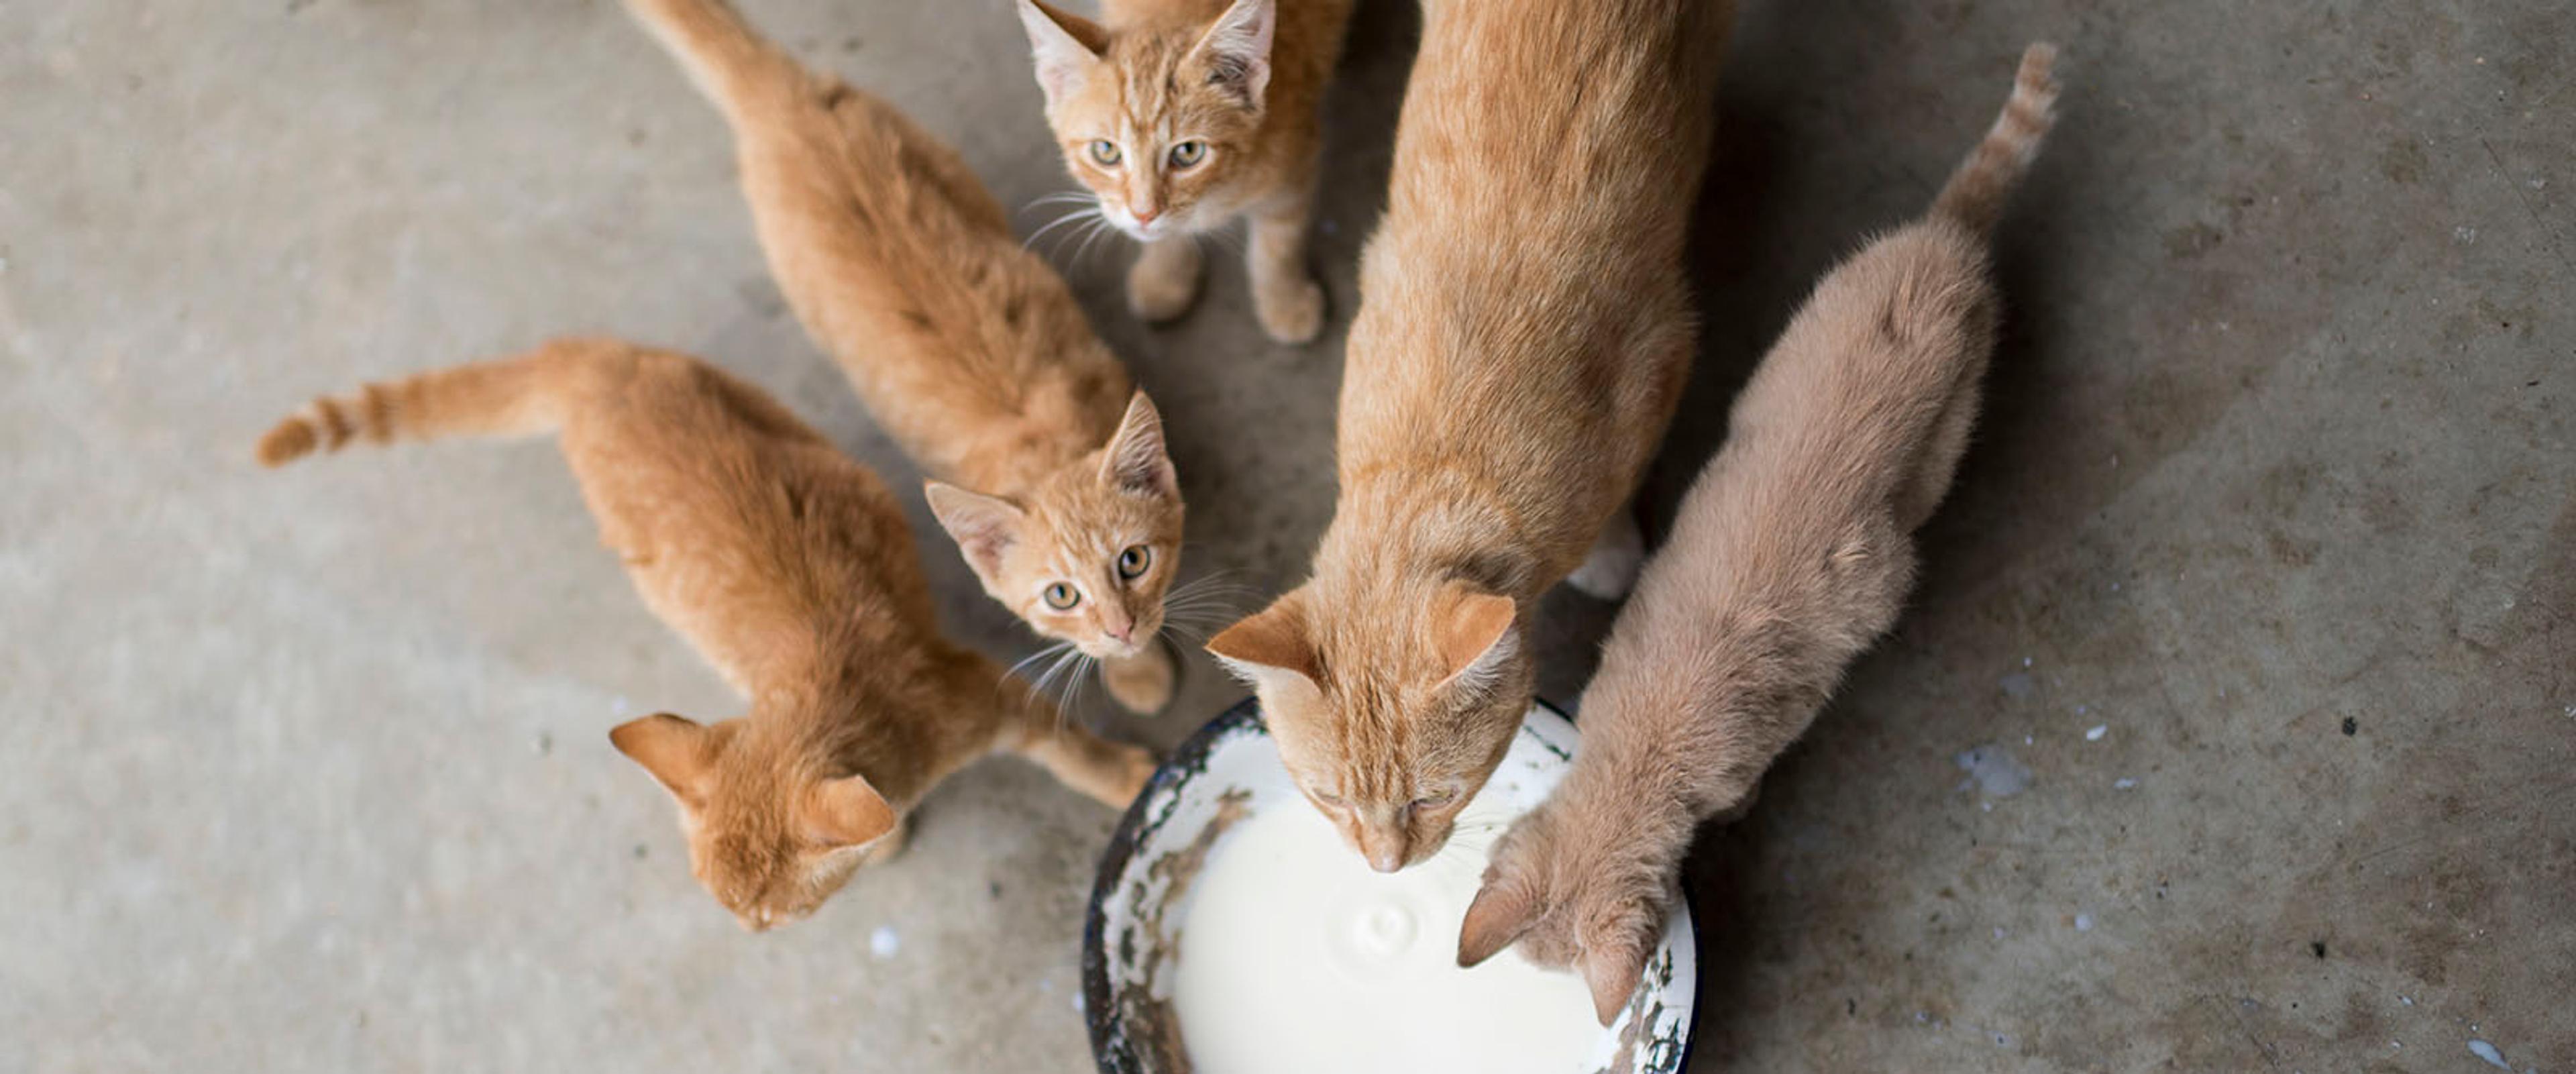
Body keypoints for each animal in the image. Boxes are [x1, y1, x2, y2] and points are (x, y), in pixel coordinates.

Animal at [251, 337, 1159, 927]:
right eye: (732, 908)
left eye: (777, 913)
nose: (751, 934)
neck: (828, 698)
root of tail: (586, 367)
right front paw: (890, 837)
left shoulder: (986, 692)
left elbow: (1074, 752)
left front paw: (1126, 781)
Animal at [623, 0, 1185, 710]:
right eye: (1062, 595)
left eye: (1133, 560)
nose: (1123, 628)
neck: (1046, 440)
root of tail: (782, 98)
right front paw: (1134, 670)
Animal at [1200, 0, 1731, 870]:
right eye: (1329, 796)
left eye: (1433, 794)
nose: (1383, 865)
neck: (1443, 458)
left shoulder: (1663, 356)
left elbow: (1622, 494)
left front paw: (1615, 547)